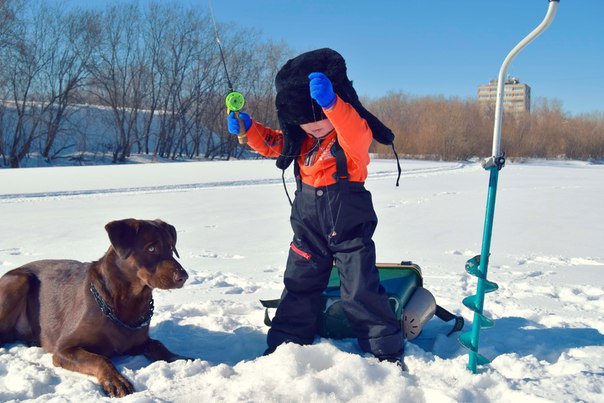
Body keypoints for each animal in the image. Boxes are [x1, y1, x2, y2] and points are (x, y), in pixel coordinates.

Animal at [0, 219, 189, 396]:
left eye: (171, 248)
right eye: (151, 249)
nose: (184, 276)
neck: (128, 302)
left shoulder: (139, 340)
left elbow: (158, 344)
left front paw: (178, 357)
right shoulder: (63, 349)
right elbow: (101, 359)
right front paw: (116, 380)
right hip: (18, 280)